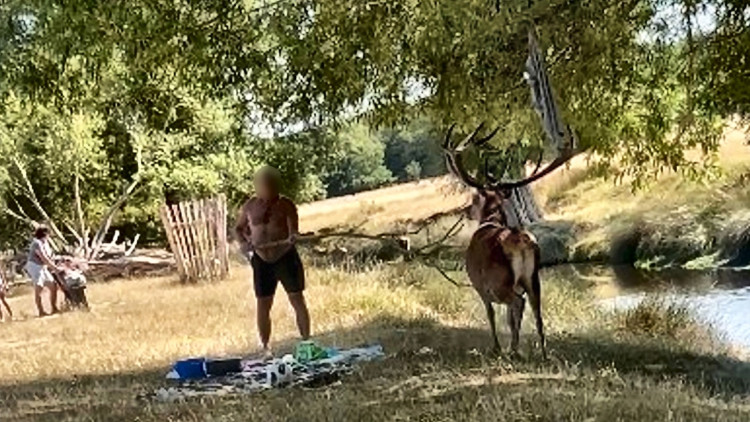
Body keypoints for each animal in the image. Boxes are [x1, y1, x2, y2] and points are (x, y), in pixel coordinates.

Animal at [443, 121, 577, 359]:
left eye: (475, 199)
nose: (466, 211)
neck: (490, 222)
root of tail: (521, 241)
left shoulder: (480, 286)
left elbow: (491, 315)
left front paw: (496, 347)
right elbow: (509, 318)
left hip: (501, 282)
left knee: (518, 302)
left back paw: (513, 349)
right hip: (533, 279)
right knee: (537, 311)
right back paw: (542, 352)